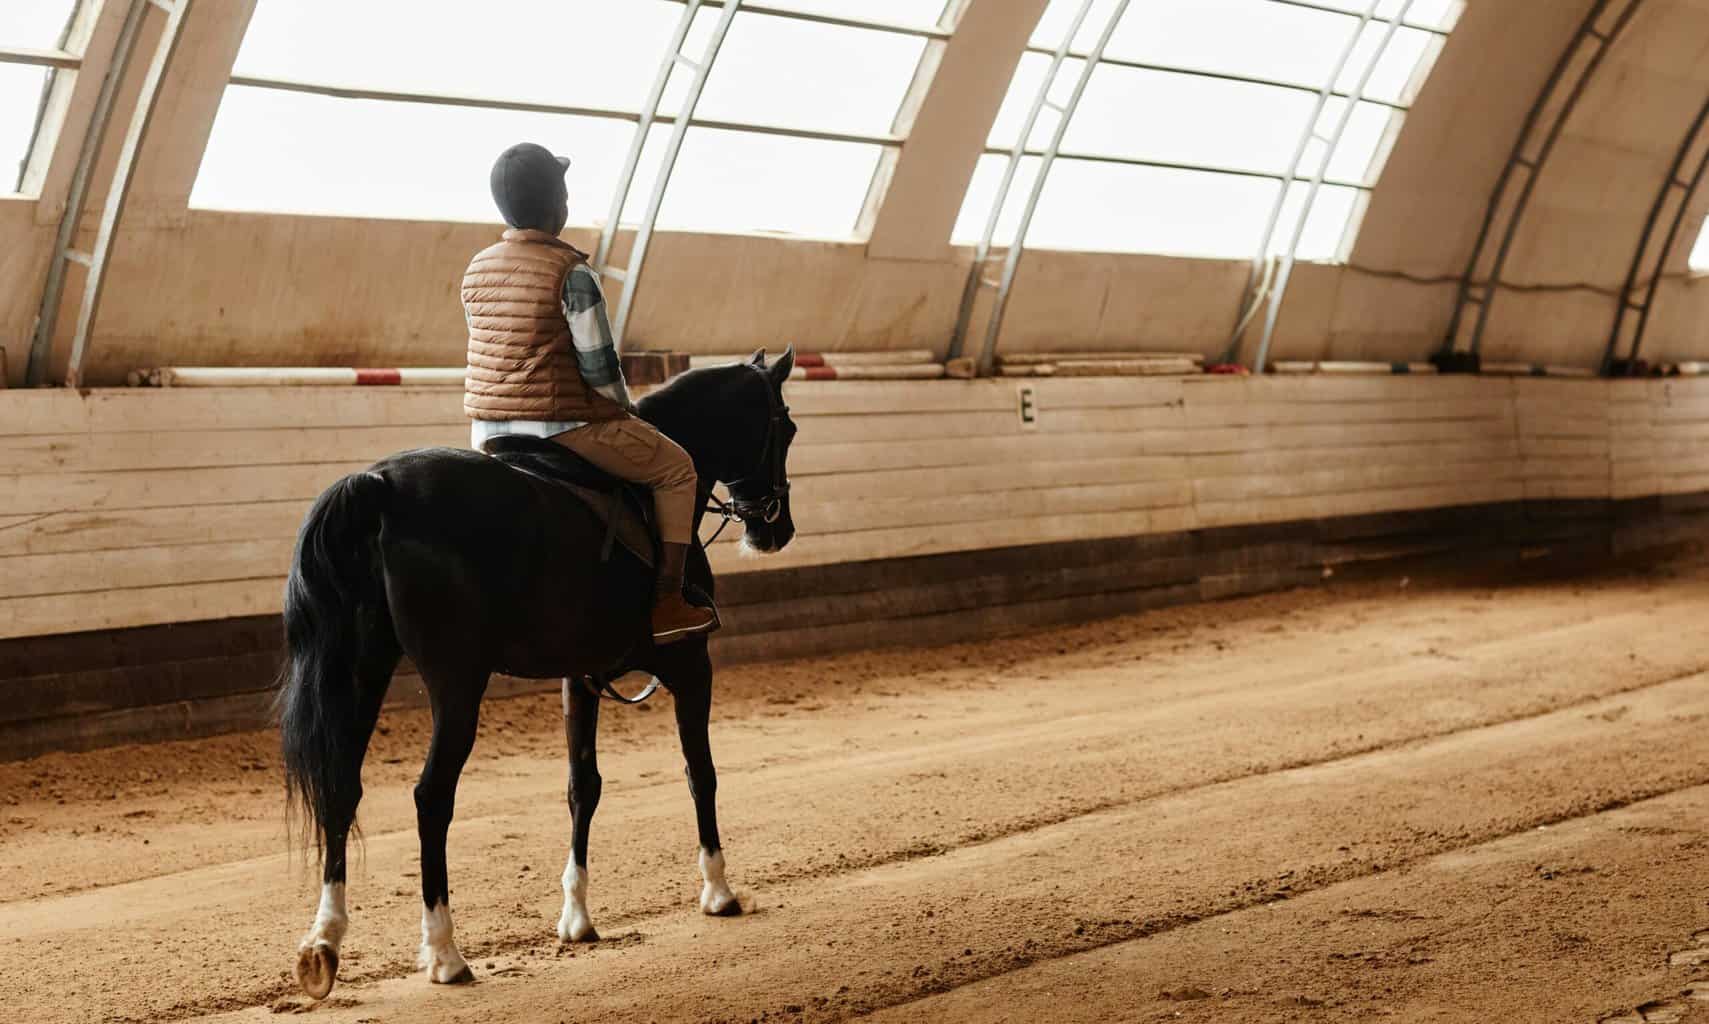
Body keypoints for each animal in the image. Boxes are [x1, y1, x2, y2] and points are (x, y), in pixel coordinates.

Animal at [275, 348, 799, 998]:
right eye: (786, 428)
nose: (777, 529)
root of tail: (380, 485)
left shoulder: (582, 680)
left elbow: (583, 787)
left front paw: (576, 917)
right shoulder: (691, 667)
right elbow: (700, 774)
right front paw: (719, 891)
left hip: (361, 671)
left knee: (342, 787)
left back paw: (324, 941)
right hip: (456, 684)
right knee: (431, 797)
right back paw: (444, 951)